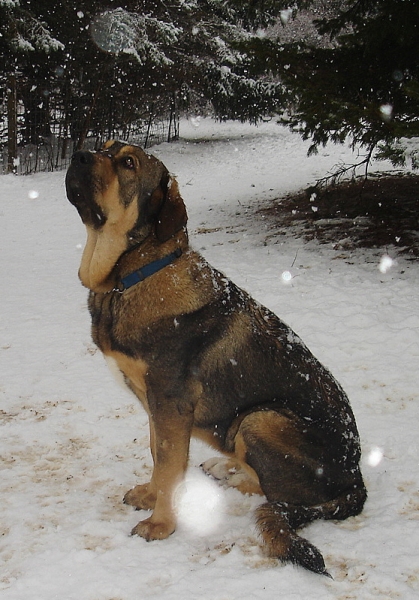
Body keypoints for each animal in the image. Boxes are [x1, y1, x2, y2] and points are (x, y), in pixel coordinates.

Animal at [65, 141, 368, 576]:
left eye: (128, 163)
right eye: (103, 148)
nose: (79, 155)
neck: (134, 275)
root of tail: (356, 479)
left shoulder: (170, 402)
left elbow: (169, 465)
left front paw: (161, 524)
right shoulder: (155, 404)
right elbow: (158, 455)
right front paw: (150, 495)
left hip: (259, 418)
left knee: (278, 495)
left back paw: (232, 477)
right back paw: (224, 467)